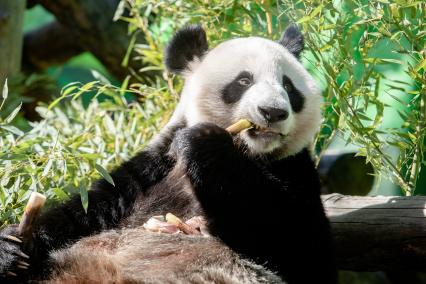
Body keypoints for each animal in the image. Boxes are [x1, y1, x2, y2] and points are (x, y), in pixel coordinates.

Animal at [0, 25, 338, 284]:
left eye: (289, 87)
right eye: (244, 80)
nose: (273, 112)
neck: (249, 152)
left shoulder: (293, 170)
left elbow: (298, 244)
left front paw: (204, 143)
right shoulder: (147, 172)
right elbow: (81, 212)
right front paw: (11, 248)